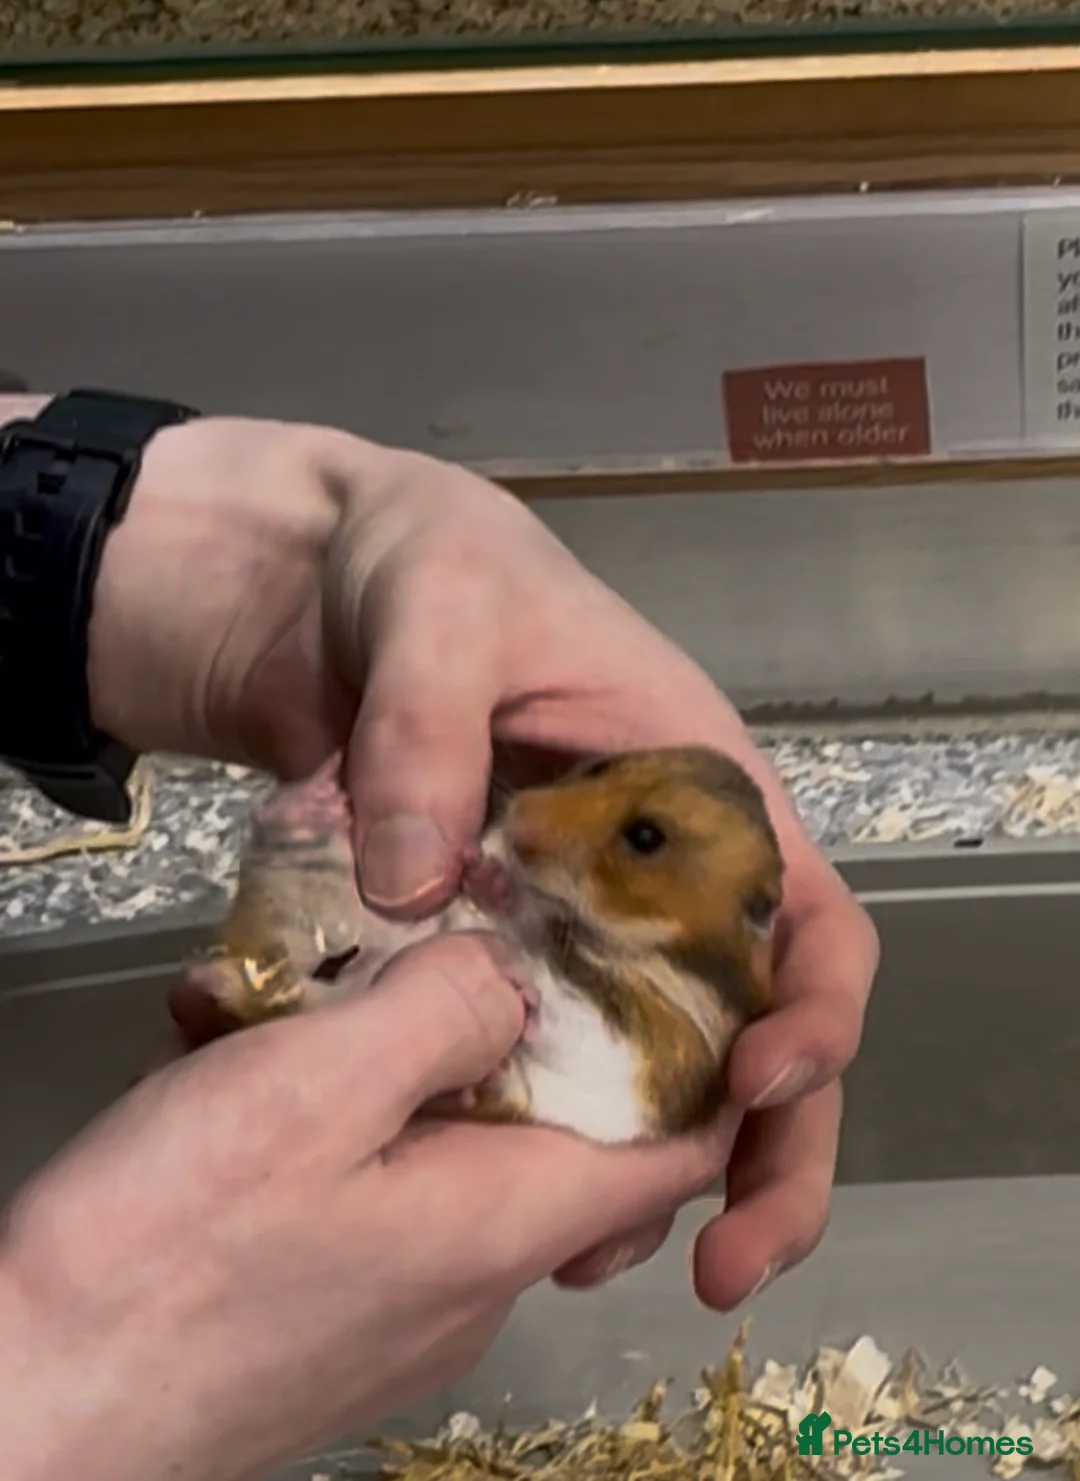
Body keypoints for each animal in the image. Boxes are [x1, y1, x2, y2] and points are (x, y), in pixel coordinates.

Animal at [175, 745, 784, 1145]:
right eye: (600, 766)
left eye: (646, 837)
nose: (516, 821)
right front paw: (492, 886)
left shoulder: (653, 1057)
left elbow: (582, 1032)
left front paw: (518, 985)